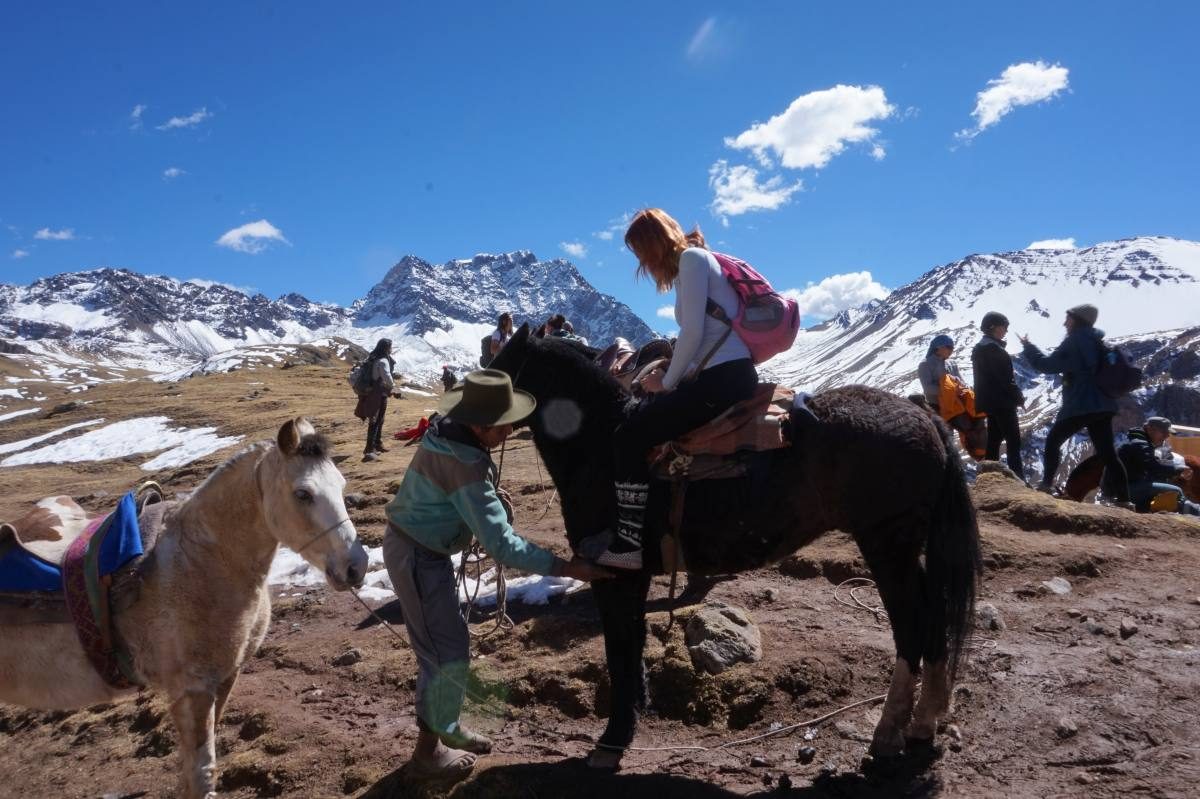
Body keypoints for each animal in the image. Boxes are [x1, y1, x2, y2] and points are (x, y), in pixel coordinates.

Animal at [0, 417, 367, 796]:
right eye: (303, 494)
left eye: (341, 485)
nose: (356, 567)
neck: (200, 559)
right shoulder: (192, 691)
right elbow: (201, 771)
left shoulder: (225, 678)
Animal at [492, 326, 979, 767]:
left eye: (494, 366)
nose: (465, 430)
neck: (597, 443)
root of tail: (924, 416)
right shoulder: (635, 577)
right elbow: (632, 647)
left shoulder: (614, 574)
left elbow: (619, 652)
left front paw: (612, 741)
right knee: (934, 622)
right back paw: (923, 725)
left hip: (887, 547)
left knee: (913, 627)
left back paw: (889, 733)